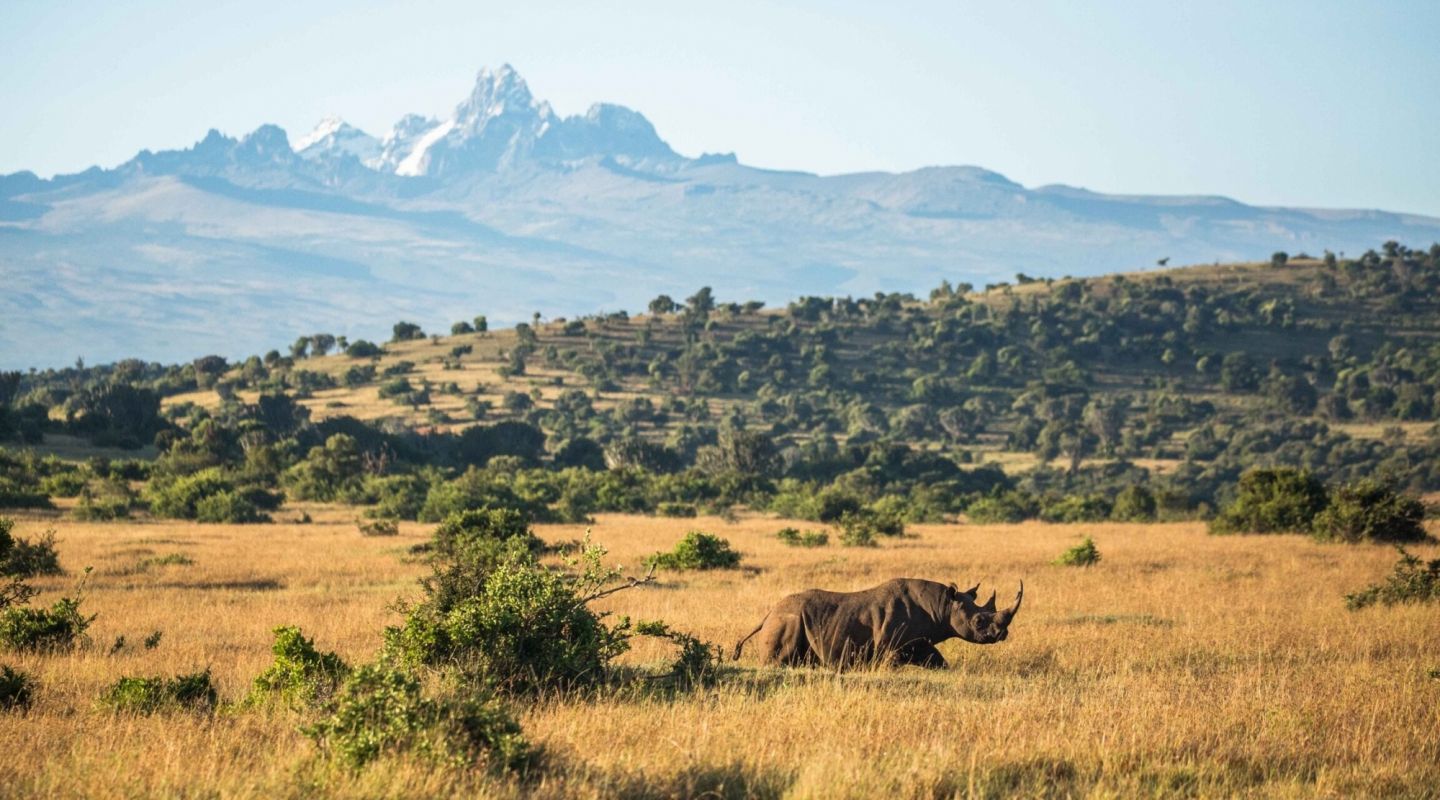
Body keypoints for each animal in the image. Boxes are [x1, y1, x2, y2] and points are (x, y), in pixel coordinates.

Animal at [731, 575, 1025, 667]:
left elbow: (938, 661)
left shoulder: (920, 641)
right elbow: (890, 663)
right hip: (786, 619)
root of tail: (767, 614)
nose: (1002, 634)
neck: (943, 606)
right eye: (979, 622)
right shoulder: (890, 644)